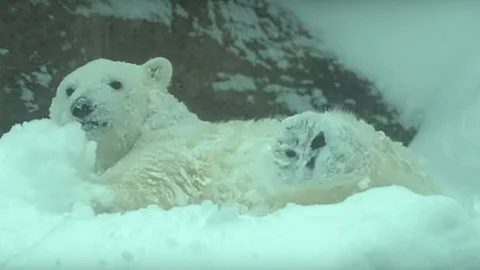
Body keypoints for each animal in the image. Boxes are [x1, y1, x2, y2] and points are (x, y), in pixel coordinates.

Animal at [48, 57, 438, 215]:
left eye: (115, 83)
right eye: (69, 89)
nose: (82, 106)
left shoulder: (176, 150)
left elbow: (150, 180)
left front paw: (86, 192)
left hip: (381, 151)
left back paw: (306, 147)